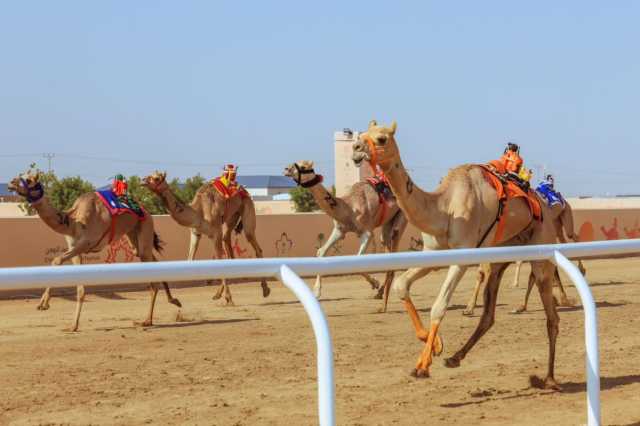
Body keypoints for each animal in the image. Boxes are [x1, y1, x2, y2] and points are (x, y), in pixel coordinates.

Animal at [8, 171, 182, 332]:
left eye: (30, 180)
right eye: (20, 174)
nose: (11, 182)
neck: (72, 222)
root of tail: (145, 210)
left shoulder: (86, 243)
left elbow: (56, 260)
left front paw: (44, 304)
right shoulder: (74, 249)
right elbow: (79, 289)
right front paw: (73, 325)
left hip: (145, 226)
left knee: (152, 279)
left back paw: (148, 320)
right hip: (134, 239)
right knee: (152, 259)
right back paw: (171, 302)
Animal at [142, 171, 270, 306]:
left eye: (156, 178)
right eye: (149, 175)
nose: (143, 180)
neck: (199, 211)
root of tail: (244, 190)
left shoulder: (215, 233)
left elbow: (219, 262)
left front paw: (229, 298)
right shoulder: (195, 233)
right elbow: (190, 260)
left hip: (247, 208)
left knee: (254, 244)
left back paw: (265, 290)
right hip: (231, 217)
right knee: (228, 245)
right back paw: (217, 294)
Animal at [284, 161, 404, 312]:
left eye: (304, 166)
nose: (287, 169)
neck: (348, 207)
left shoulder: (366, 231)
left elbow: (357, 259)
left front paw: (374, 283)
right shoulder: (339, 230)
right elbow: (321, 252)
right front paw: (316, 291)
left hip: (402, 216)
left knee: (395, 238)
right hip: (387, 223)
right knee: (386, 245)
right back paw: (380, 293)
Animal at [352, 120, 568, 390]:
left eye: (381, 138)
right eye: (362, 134)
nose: (356, 148)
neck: (444, 208)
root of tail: (543, 204)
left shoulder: (461, 258)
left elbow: (439, 306)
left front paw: (422, 366)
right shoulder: (432, 254)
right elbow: (402, 285)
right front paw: (435, 345)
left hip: (541, 246)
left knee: (552, 315)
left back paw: (548, 378)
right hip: (501, 254)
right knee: (489, 313)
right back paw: (455, 357)